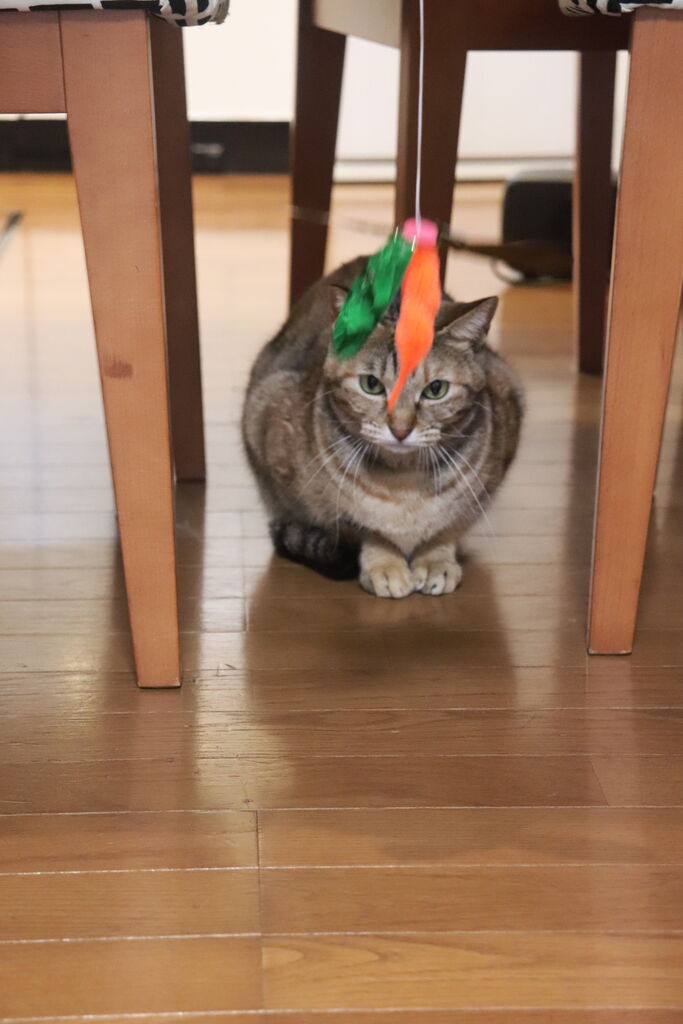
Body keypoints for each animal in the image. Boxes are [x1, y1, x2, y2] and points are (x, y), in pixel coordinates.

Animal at [242, 257, 523, 598]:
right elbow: (366, 527)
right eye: (371, 384)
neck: (404, 482)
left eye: (436, 389)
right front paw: (384, 564)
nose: (400, 429)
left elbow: (447, 526)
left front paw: (436, 560)